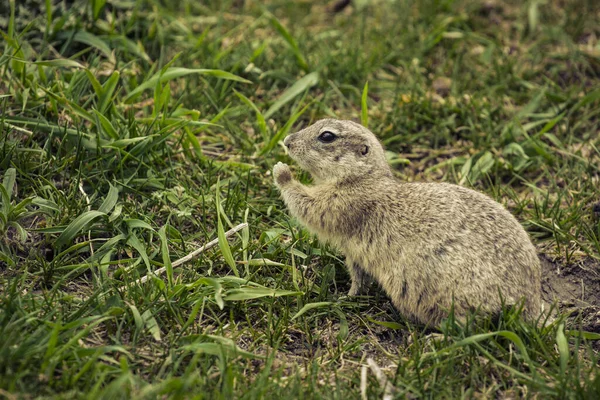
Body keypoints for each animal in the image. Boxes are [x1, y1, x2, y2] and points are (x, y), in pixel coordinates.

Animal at [274, 119, 540, 324]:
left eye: (327, 136)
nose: (286, 140)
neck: (364, 178)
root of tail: (530, 301)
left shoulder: (343, 203)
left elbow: (311, 207)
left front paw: (281, 171)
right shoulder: (355, 253)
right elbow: (359, 276)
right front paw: (349, 295)